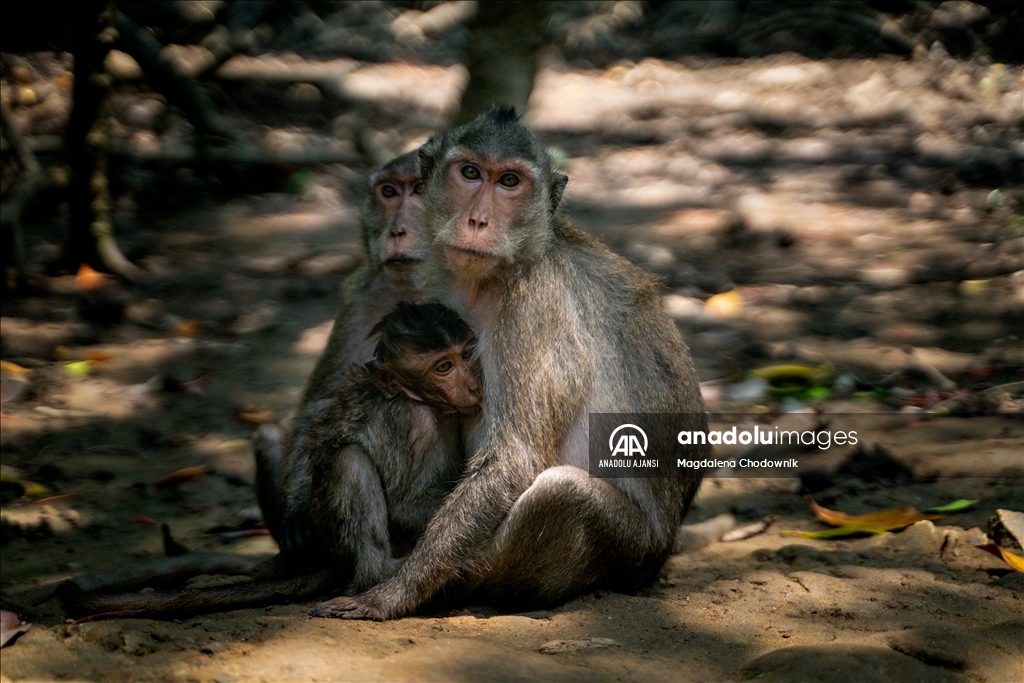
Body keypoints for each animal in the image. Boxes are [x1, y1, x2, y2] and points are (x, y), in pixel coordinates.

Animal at [58, 301, 481, 622]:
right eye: (443, 367)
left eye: (466, 355)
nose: (474, 384)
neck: (424, 401)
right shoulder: (411, 423)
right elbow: (403, 503)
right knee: (348, 460)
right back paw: (380, 576)